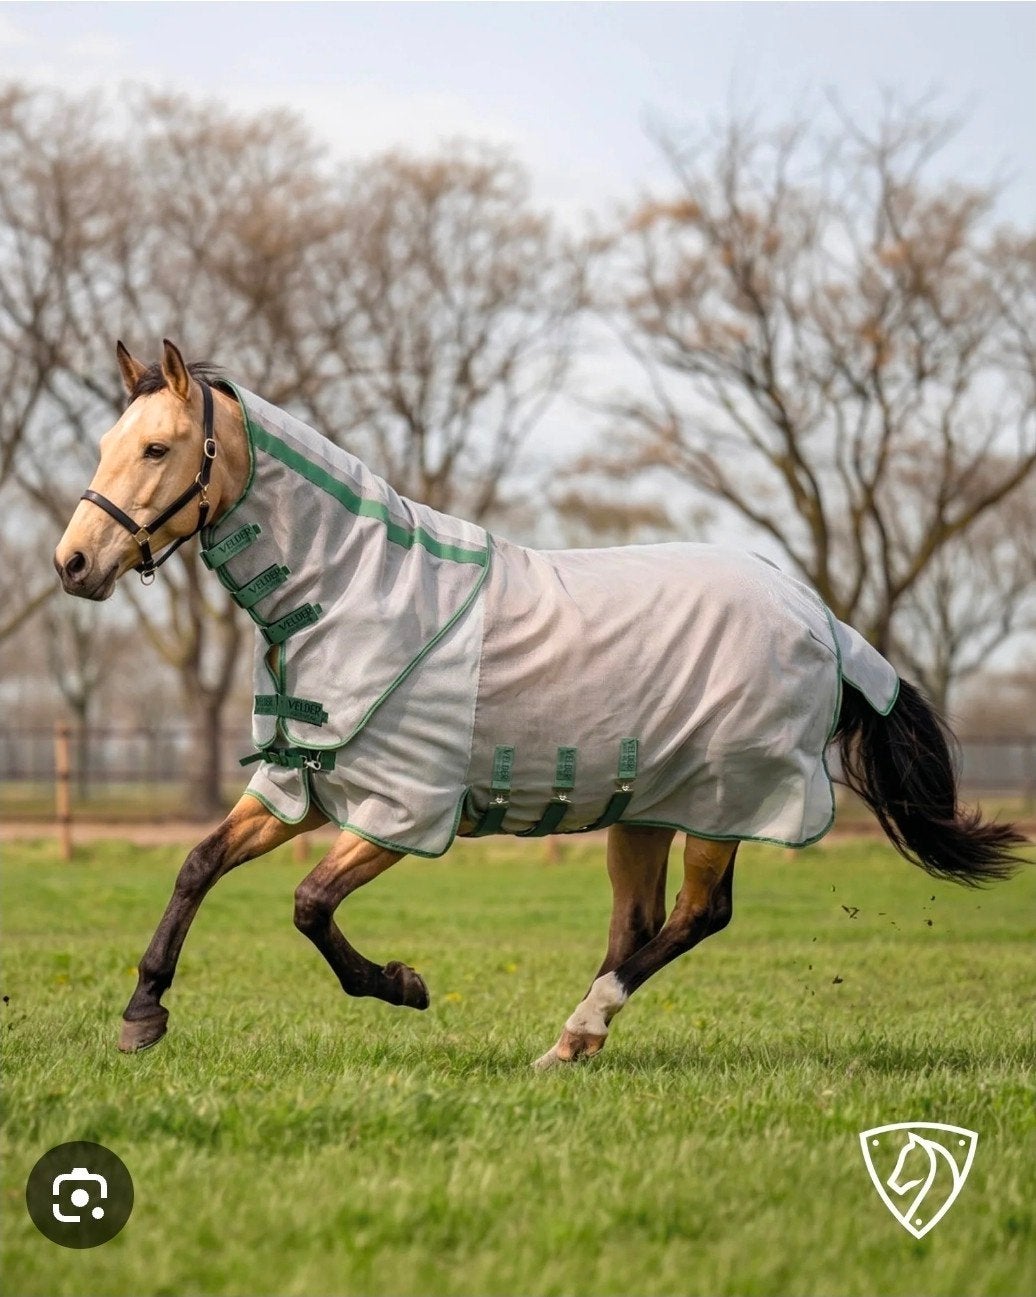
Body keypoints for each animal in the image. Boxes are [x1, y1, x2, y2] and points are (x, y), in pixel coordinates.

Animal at [54, 341, 1026, 1067]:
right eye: (105, 445)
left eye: (156, 449)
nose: (73, 563)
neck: (354, 594)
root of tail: (820, 616)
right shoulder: (301, 787)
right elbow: (197, 865)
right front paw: (142, 1015)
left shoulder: (400, 810)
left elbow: (308, 904)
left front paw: (404, 985)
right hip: (647, 807)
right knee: (640, 920)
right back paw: (571, 1042)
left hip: (723, 803)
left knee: (698, 915)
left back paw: (580, 1026)